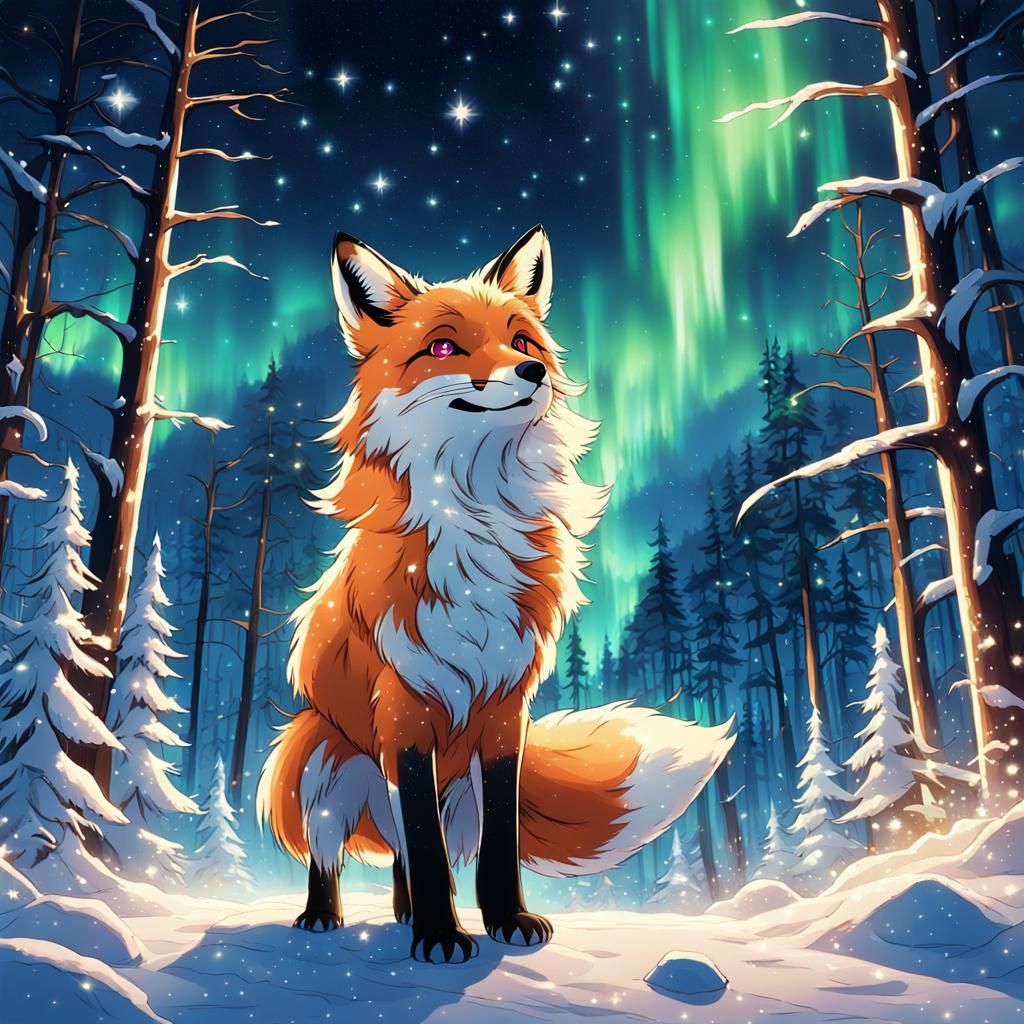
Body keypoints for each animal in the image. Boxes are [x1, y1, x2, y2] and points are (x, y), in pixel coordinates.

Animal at [256, 225, 734, 964]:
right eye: (444, 347)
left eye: (524, 343)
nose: (532, 375)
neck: (475, 515)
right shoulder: (404, 712)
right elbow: (425, 847)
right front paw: (439, 935)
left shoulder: (507, 711)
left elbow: (494, 850)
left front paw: (506, 921)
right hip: (324, 766)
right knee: (338, 851)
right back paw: (325, 916)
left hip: (455, 790)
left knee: (411, 853)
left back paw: (404, 912)